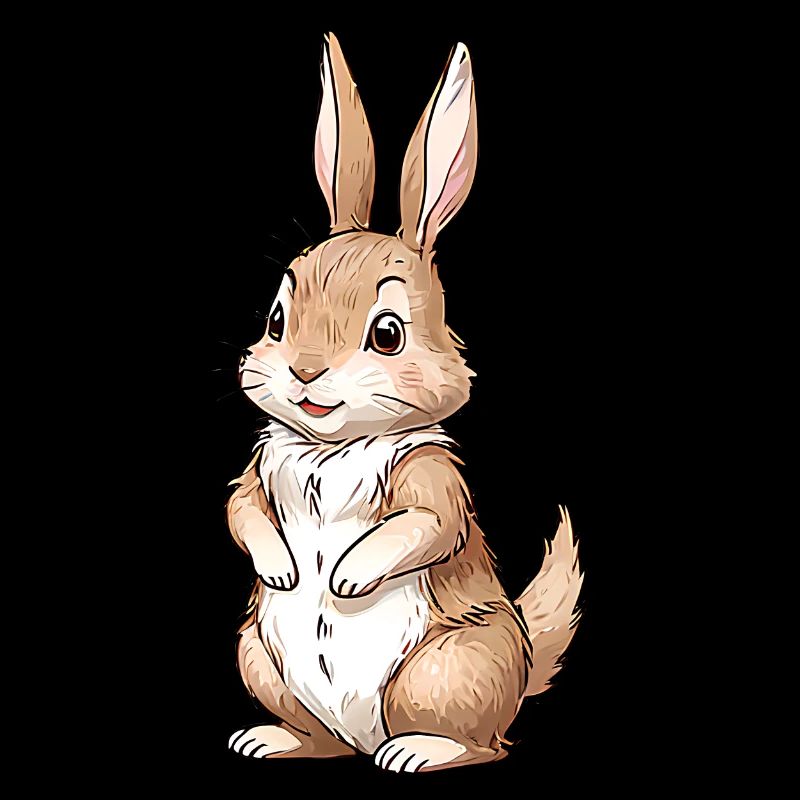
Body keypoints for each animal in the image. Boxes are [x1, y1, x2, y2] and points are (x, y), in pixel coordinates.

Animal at [226, 32, 583, 772]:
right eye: (276, 319)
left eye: (388, 334)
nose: (304, 372)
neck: (328, 447)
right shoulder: (258, 473)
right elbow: (242, 510)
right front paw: (283, 568)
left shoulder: (434, 481)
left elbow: (426, 525)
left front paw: (344, 580)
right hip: (257, 657)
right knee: (321, 739)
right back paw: (270, 739)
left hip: (448, 669)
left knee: (483, 746)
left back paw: (417, 752)